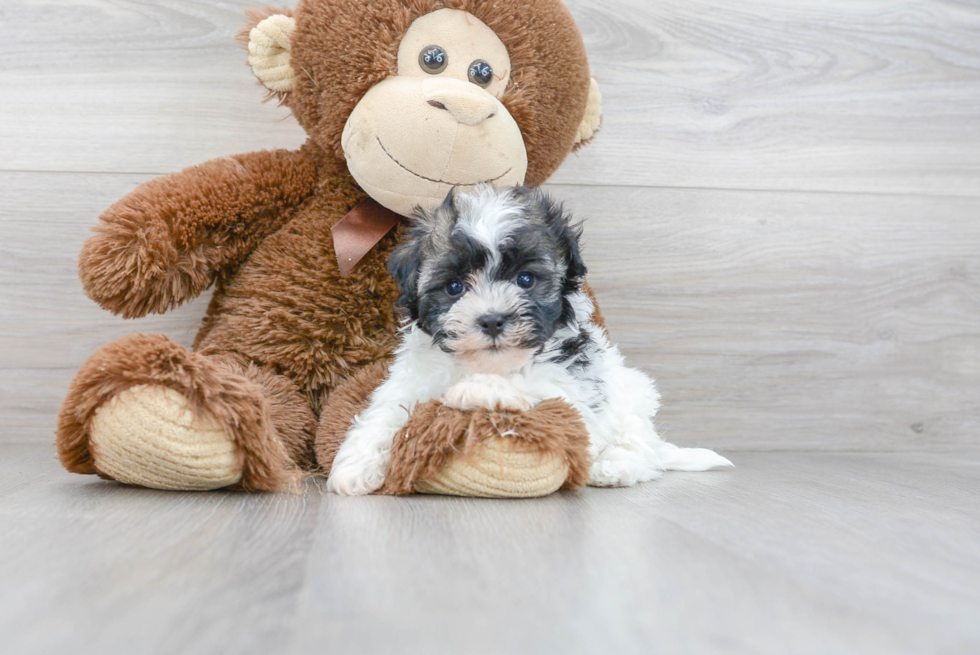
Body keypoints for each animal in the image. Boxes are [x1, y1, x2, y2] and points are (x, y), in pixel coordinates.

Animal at [326, 187, 732, 494]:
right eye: (455, 287)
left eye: (525, 279)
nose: (492, 319)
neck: (483, 362)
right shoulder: (413, 379)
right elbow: (385, 411)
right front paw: (354, 465)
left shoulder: (573, 389)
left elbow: (533, 385)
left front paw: (476, 390)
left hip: (631, 398)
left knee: (640, 447)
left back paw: (613, 467)